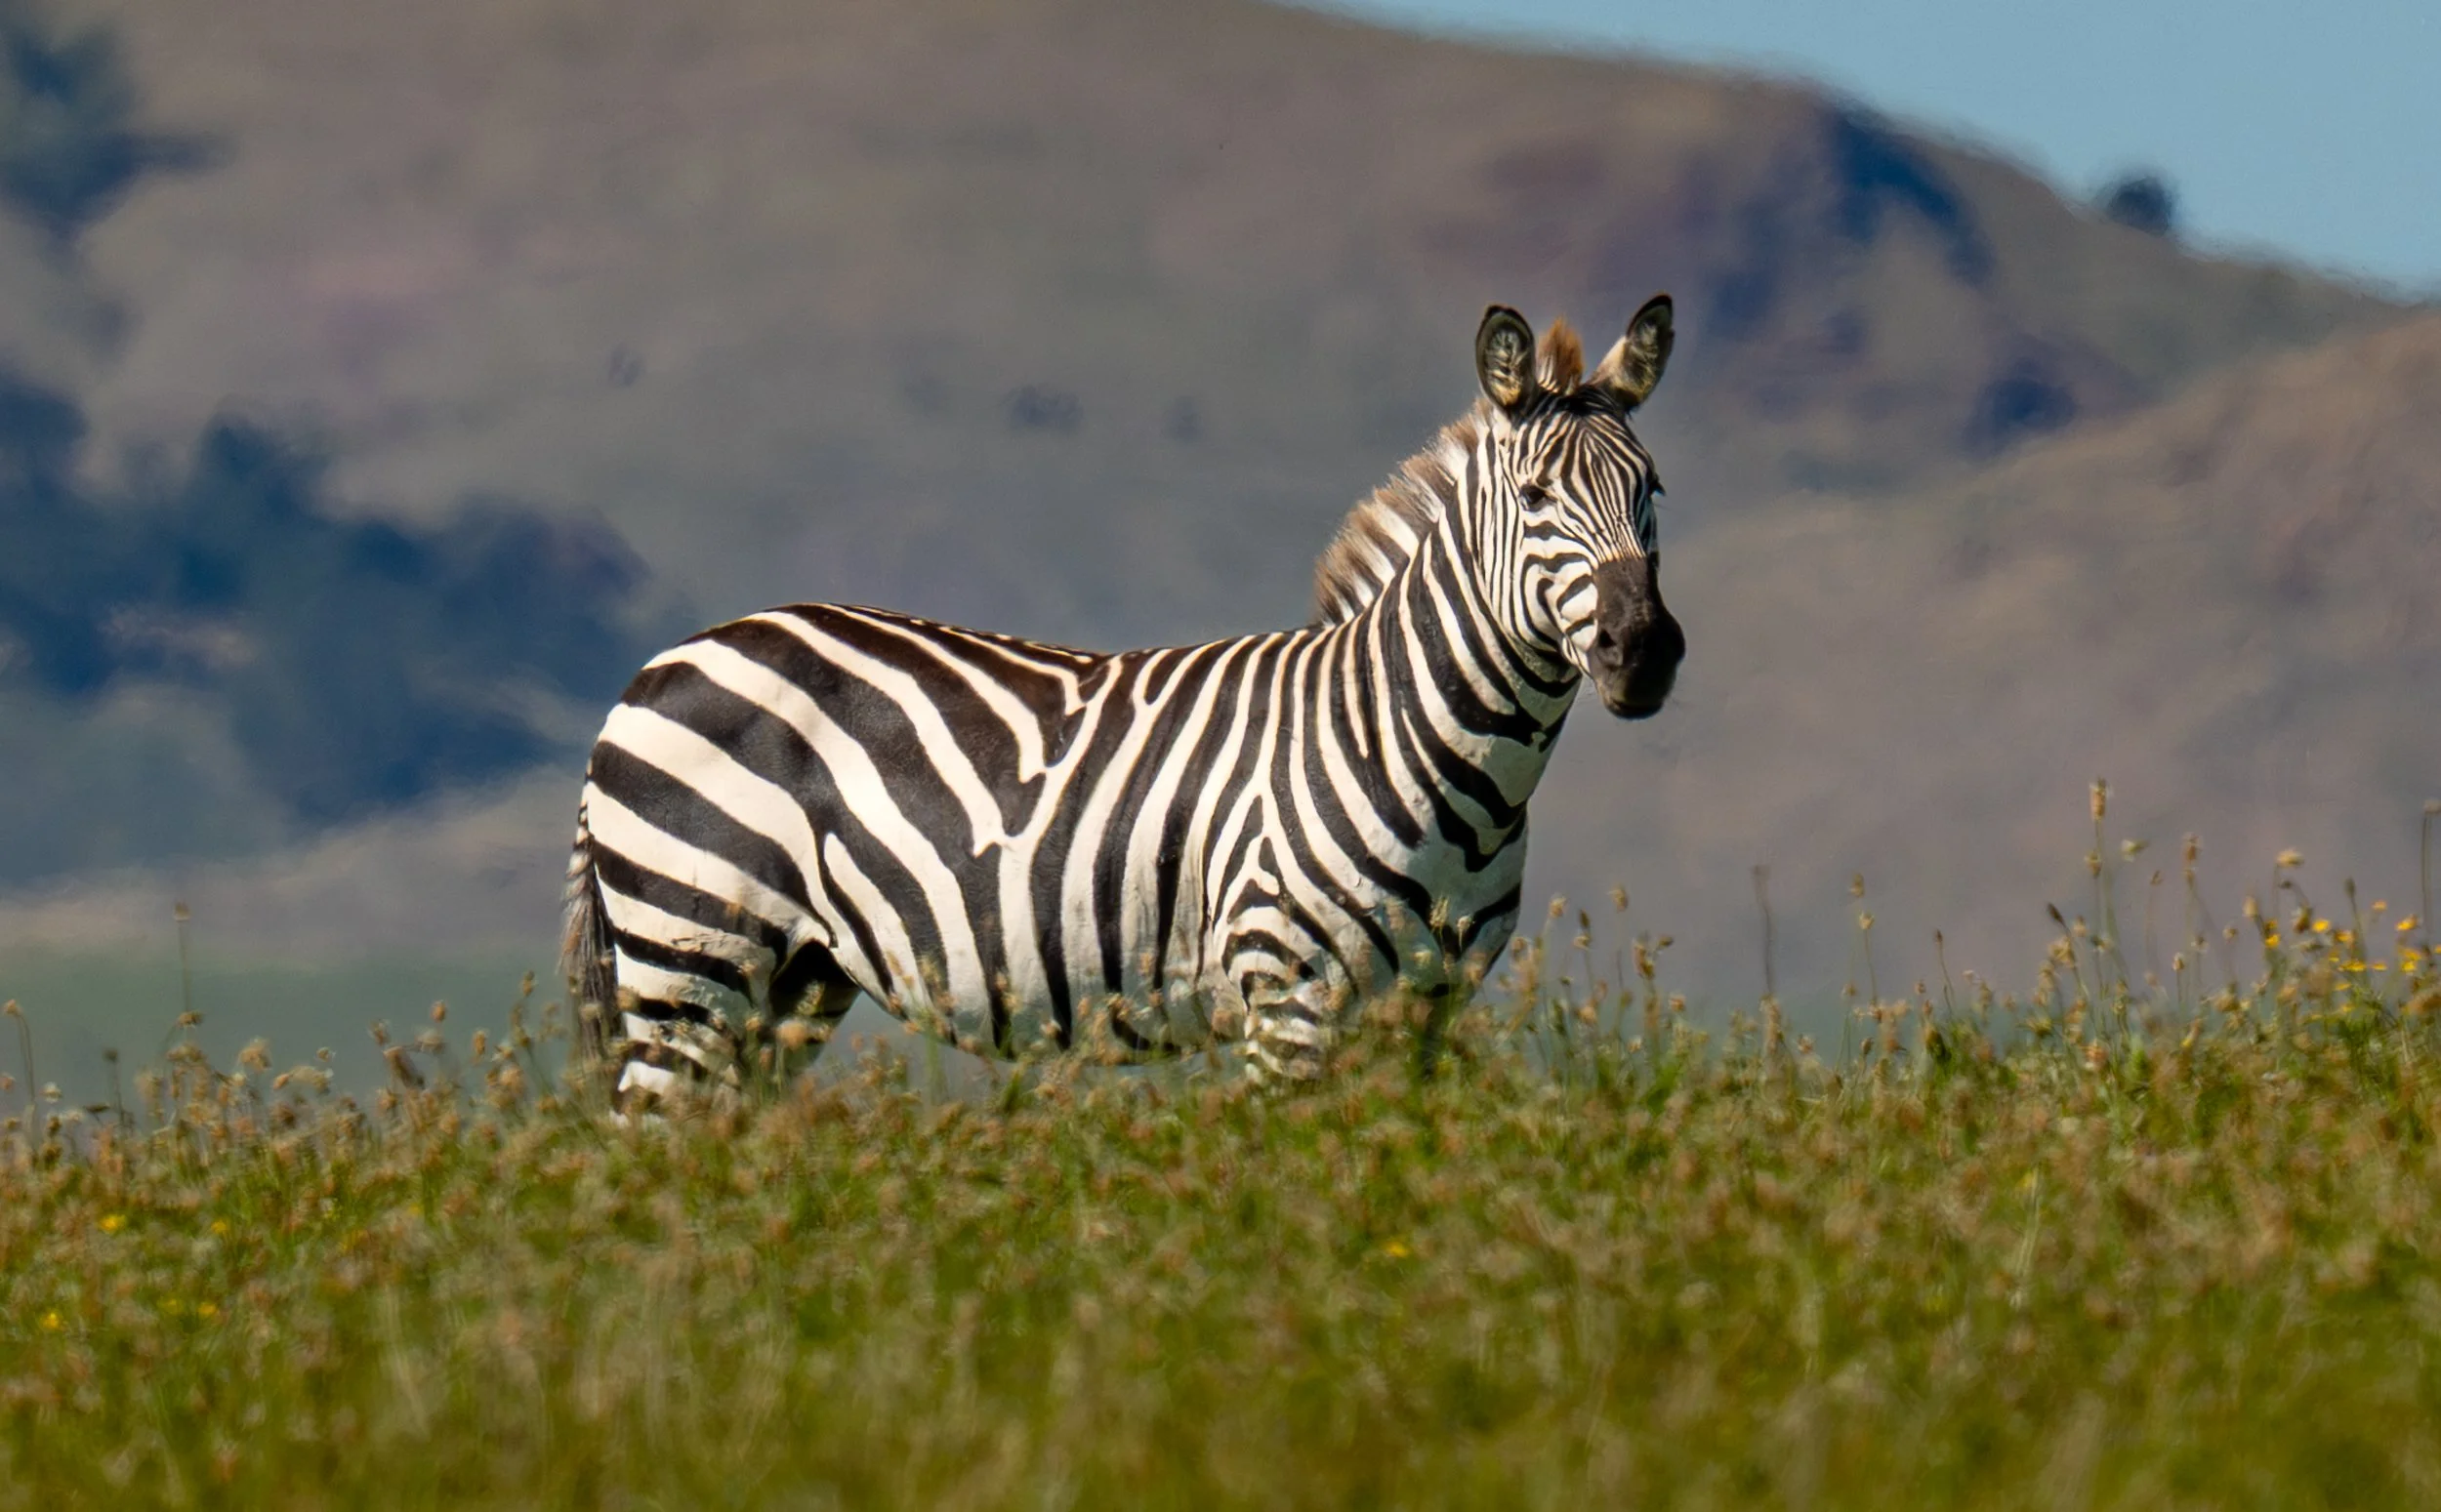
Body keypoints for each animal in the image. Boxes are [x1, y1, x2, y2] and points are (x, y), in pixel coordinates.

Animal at [562, 297, 1684, 1103]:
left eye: (1654, 491)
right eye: (1534, 499)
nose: (1644, 651)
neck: (1417, 743)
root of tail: (657, 667)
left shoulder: (1425, 1007)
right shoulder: (1288, 996)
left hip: (787, 983)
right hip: (690, 956)